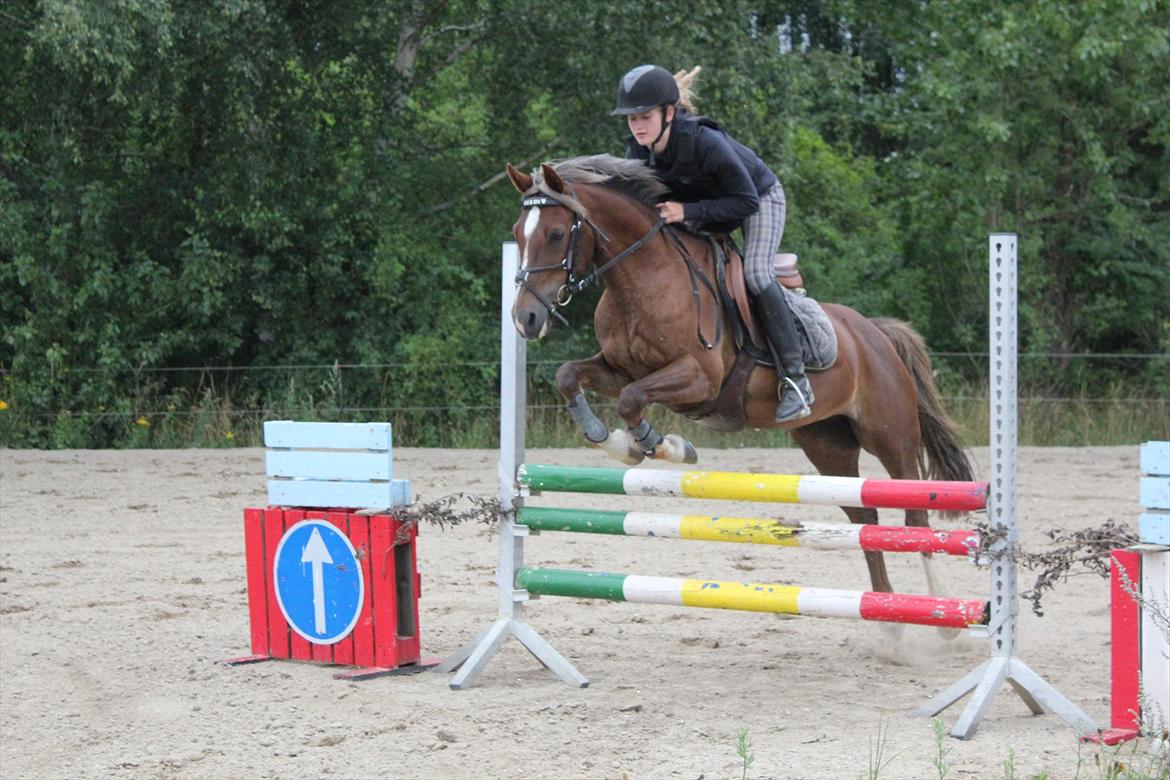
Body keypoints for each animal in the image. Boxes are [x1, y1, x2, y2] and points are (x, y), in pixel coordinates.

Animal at [507, 156, 973, 598]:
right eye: (517, 233)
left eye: (555, 234)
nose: (525, 319)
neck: (642, 279)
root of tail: (876, 332)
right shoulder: (619, 368)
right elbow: (570, 376)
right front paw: (610, 440)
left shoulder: (700, 379)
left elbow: (631, 399)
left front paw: (664, 447)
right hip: (828, 444)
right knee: (864, 517)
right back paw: (887, 616)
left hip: (891, 435)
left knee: (914, 513)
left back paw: (936, 609)